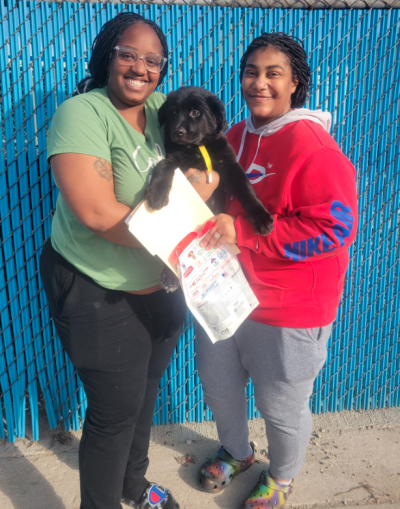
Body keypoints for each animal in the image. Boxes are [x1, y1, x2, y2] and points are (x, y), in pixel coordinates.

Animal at [145, 87, 274, 234]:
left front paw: (260, 216)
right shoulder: (174, 158)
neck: (197, 147)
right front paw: (157, 193)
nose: (178, 132)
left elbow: (245, 186)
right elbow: (164, 163)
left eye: (195, 112)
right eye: (174, 113)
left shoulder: (229, 164)